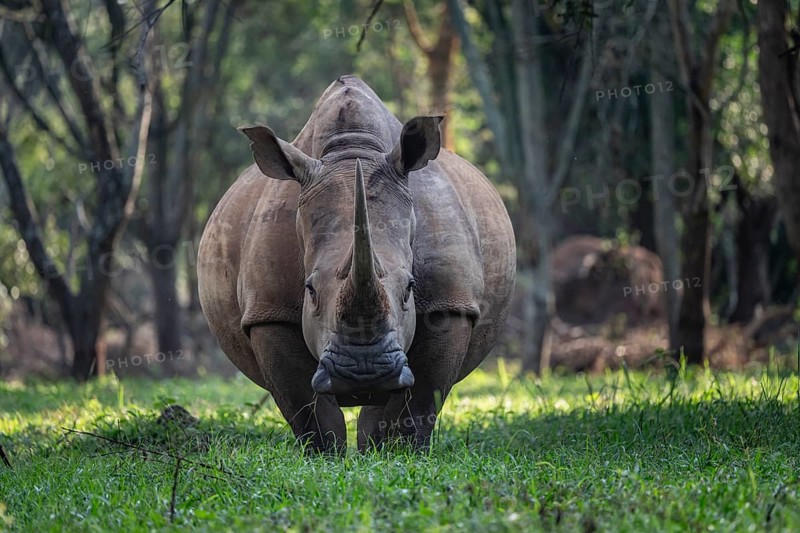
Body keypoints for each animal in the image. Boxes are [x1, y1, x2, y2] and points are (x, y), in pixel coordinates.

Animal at [198, 75, 515, 452]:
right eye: (310, 290)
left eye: (410, 288)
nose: (365, 374)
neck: (352, 154)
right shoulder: (269, 310)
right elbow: (307, 408)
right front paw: (326, 455)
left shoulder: (450, 302)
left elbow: (420, 399)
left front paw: (398, 454)